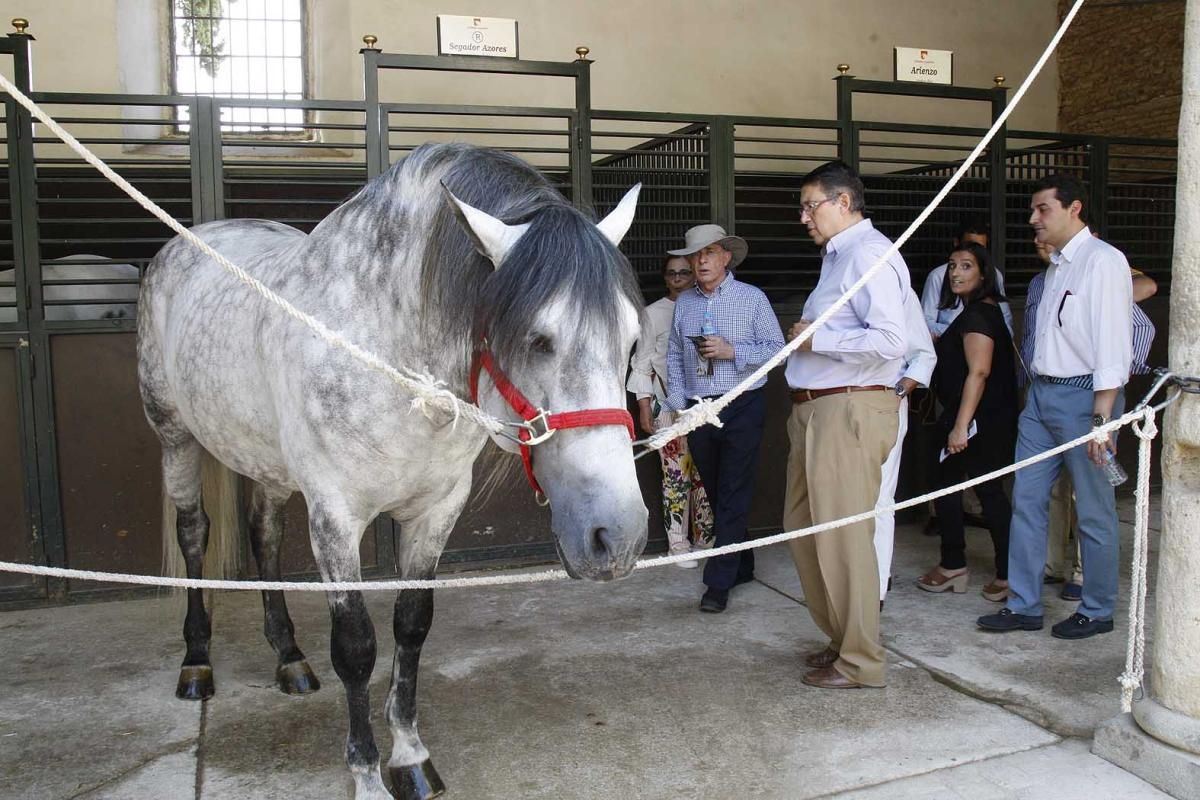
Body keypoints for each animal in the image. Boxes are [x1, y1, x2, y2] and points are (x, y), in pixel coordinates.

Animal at [136, 145, 652, 800]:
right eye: (538, 339)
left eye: (631, 341)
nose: (619, 537)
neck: (389, 354)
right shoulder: (335, 518)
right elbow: (356, 648)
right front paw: (367, 774)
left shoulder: (436, 510)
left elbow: (412, 626)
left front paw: (410, 756)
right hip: (174, 437)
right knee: (194, 534)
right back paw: (196, 663)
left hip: (266, 462)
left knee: (265, 535)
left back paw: (289, 658)